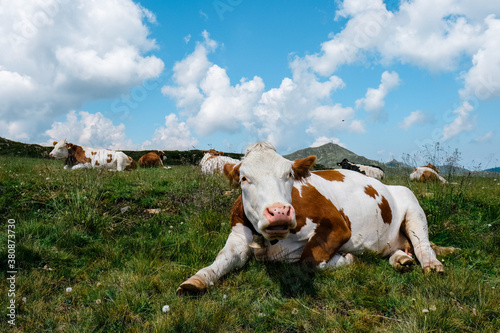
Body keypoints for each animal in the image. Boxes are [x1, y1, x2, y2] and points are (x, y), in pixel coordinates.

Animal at [177, 141, 450, 292]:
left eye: (289, 174)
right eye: (244, 178)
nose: (279, 212)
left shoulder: (338, 226)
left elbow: (309, 259)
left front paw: (346, 258)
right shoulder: (237, 234)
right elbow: (224, 257)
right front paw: (197, 279)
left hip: (414, 208)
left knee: (422, 244)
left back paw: (432, 265)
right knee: (401, 247)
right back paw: (401, 259)